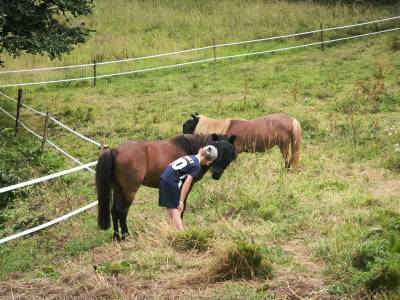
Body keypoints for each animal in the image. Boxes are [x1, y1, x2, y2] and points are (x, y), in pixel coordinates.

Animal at [95, 134, 236, 241]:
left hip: (118, 189)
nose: (217, 174)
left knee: (114, 211)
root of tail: (115, 150)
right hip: (129, 191)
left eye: (229, 154)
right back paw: (126, 236)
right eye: (218, 152)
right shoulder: (185, 187)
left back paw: (116, 237)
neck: (191, 150)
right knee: (122, 211)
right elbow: (181, 207)